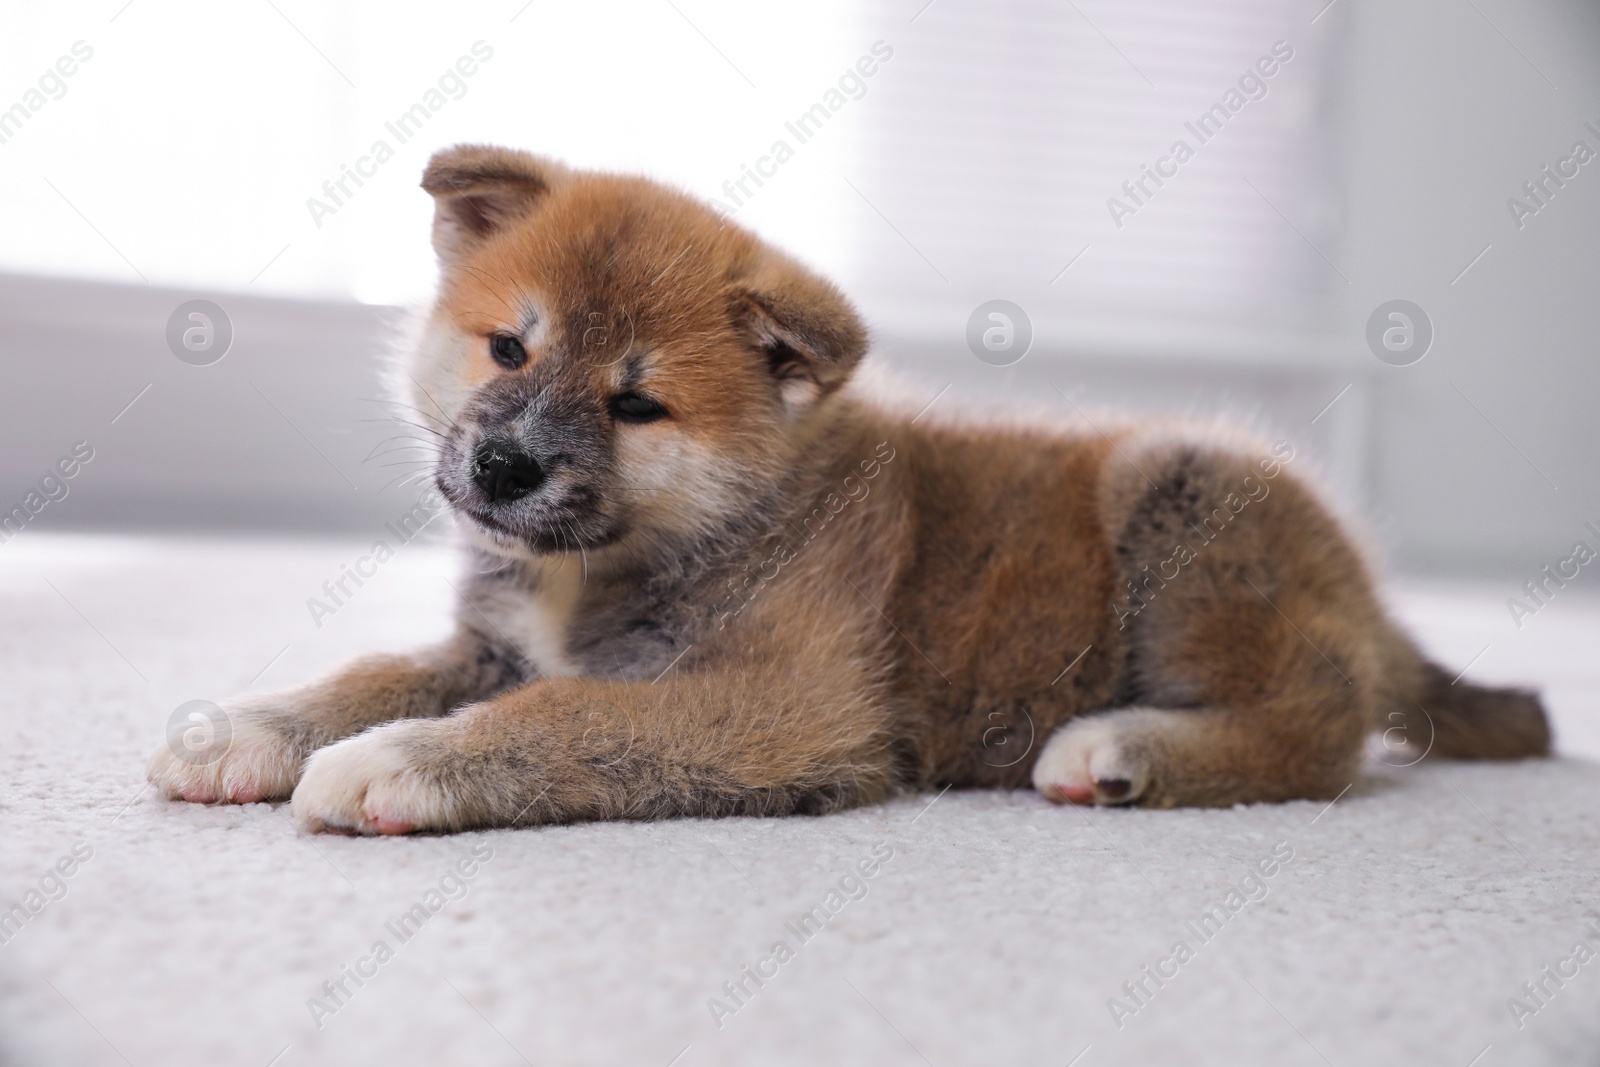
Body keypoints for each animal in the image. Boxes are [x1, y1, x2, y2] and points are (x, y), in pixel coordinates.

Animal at [150, 143, 1548, 831]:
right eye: (510, 347)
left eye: (637, 403)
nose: (503, 464)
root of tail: (1362, 594)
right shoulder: (486, 641)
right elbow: (371, 672)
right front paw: (245, 729)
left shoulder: (787, 705)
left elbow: (558, 716)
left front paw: (396, 762)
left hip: (1181, 487)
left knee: (1324, 728)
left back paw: (1121, 747)